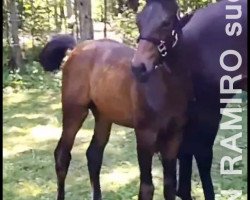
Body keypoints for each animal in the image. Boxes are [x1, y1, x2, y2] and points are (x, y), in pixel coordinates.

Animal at [39, 35, 193, 198]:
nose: (140, 68)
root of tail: (78, 47)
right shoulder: (145, 135)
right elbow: (147, 188)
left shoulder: (175, 136)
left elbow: (170, 186)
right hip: (74, 111)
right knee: (62, 155)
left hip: (103, 117)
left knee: (93, 155)